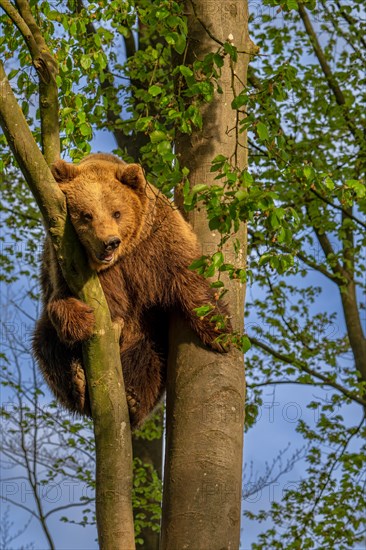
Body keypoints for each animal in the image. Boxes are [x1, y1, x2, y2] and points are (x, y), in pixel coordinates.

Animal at [33, 153, 230, 430]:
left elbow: (188, 276)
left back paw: (134, 399)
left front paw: (220, 332)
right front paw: (81, 320)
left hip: (148, 332)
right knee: (46, 343)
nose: (109, 242)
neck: (123, 256)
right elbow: (64, 300)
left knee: (148, 358)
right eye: (86, 215)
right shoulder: (66, 264)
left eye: (117, 212)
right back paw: (78, 381)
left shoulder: (157, 243)